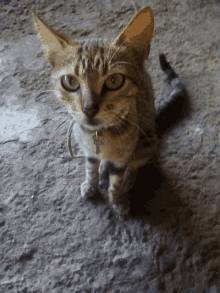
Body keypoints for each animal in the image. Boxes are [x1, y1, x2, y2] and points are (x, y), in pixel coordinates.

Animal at [32, 6, 186, 214]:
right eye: (70, 81)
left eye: (114, 80)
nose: (89, 109)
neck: (99, 136)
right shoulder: (88, 151)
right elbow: (90, 169)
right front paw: (91, 184)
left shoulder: (122, 157)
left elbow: (116, 181)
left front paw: (118, 199)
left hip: (147, 141)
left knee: (136, 163)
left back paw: (128, 179)